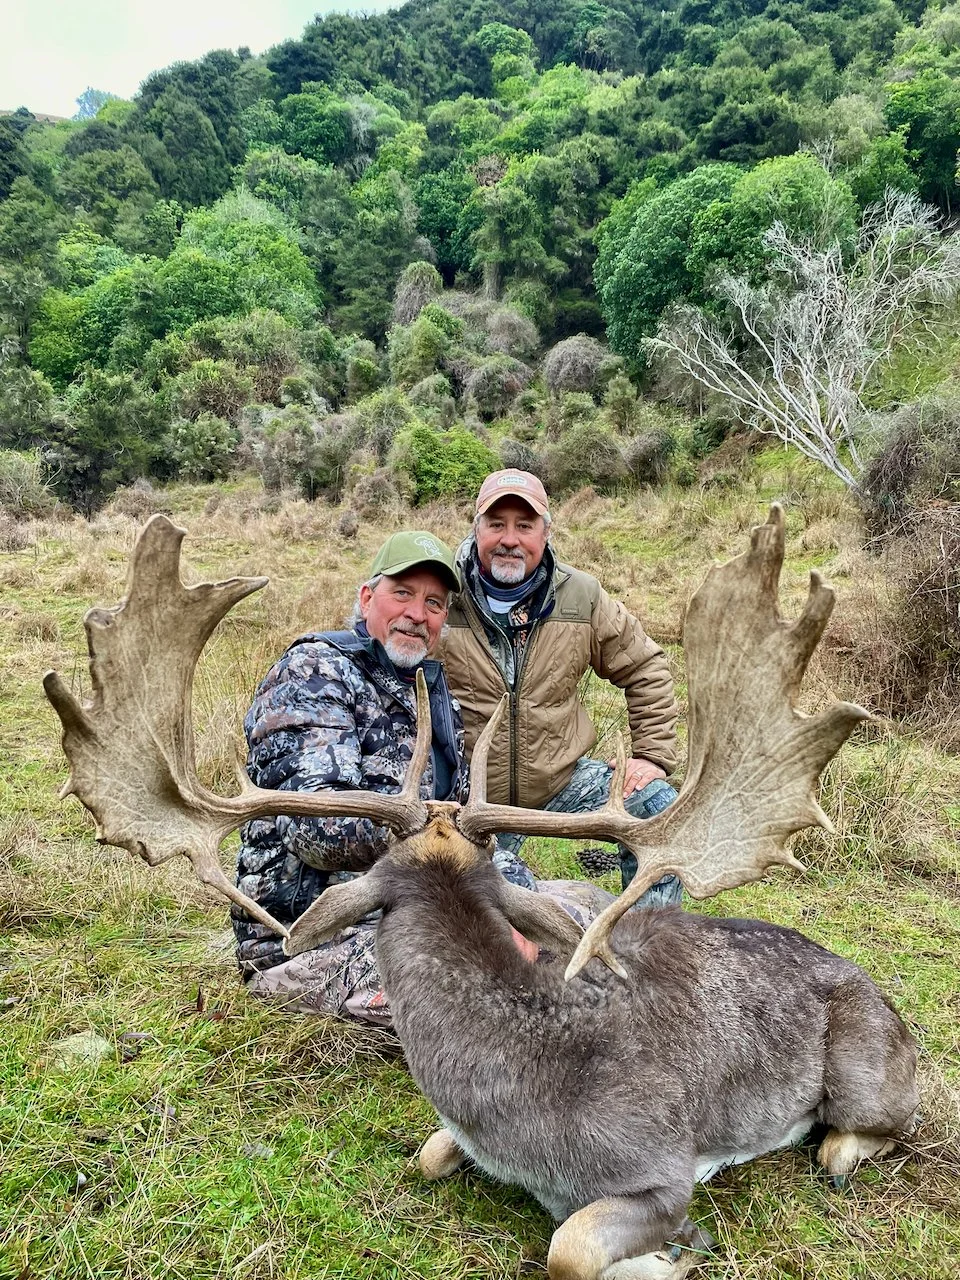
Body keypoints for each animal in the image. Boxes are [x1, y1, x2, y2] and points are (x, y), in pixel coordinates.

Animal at [44, 506, 919, 1280]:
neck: (525, 1107)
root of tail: (882, 997)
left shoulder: (660, 1166)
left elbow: (569, 1246)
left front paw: (675, 1254)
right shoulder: (457, 1138)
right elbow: (428, 1155)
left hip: (869, 1071)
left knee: (881, 1122)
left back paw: (837, 1152)